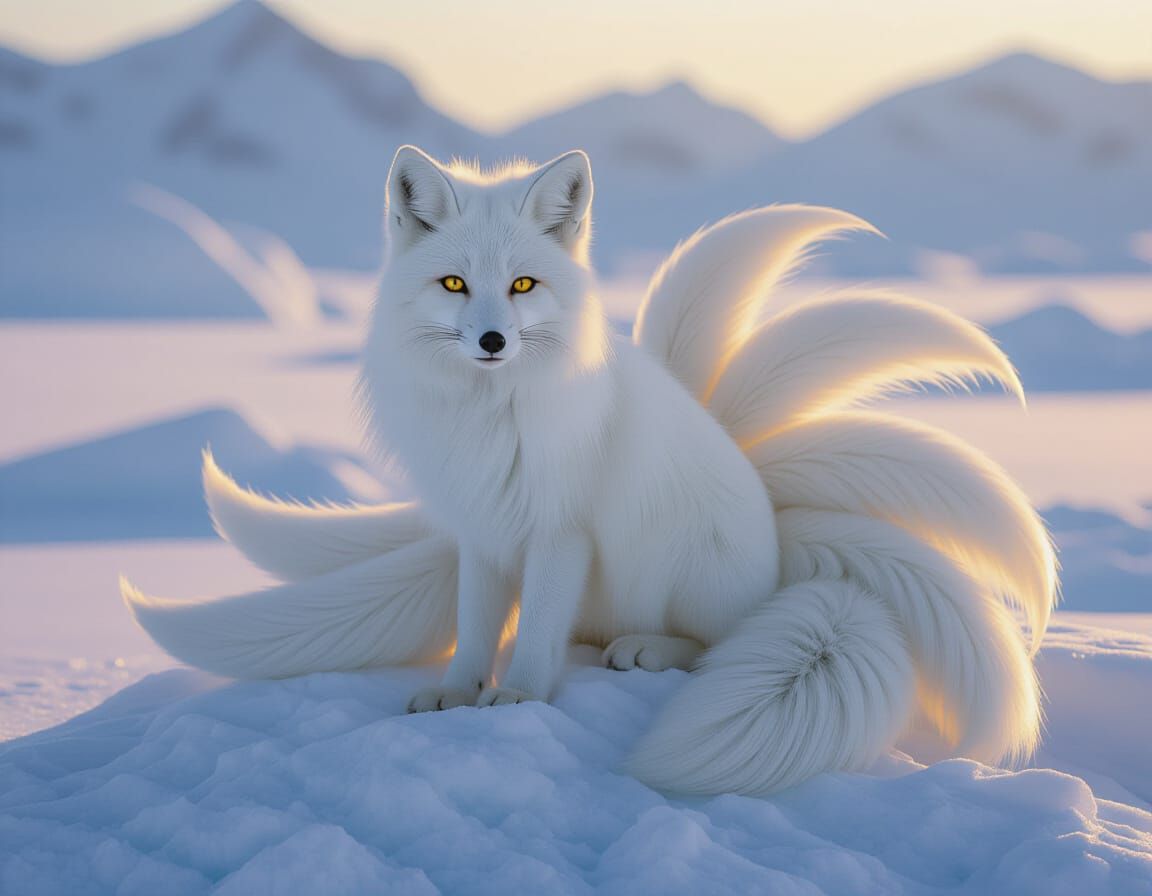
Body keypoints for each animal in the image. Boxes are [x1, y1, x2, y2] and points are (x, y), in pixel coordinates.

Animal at [122, 145, 1057, 795]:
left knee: (709, 643)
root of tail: (780, 552)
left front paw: (517, 700)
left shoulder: (559, 532)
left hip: (678, 567)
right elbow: (476, 626)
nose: (492, 339)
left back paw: (646, 650)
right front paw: (458, 693)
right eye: (454, 284)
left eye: (523, 285)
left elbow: (533, 635)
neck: (493, 417)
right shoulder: (481, 533)